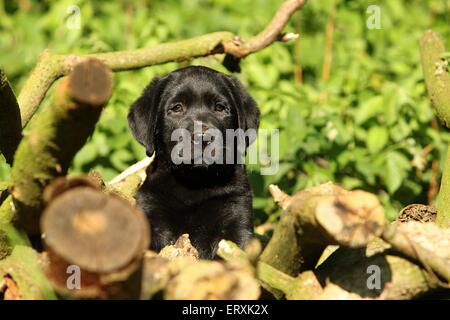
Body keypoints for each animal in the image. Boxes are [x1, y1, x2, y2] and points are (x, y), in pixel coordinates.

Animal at [126, 65, 260, 258]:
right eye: (177, 108)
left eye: (220, 108)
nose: (203, 138)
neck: (194, 183)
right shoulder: (152, 209)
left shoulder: (236, 212)